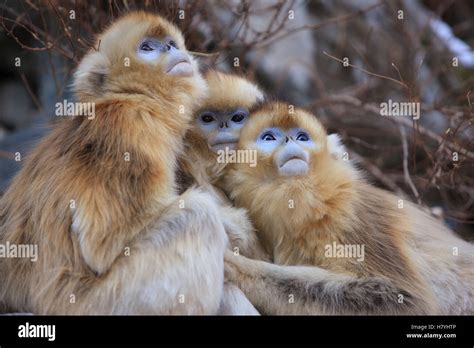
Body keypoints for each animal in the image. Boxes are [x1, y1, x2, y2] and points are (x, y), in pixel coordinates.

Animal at [0, 12, 248, 314]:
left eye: (170, 43)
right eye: (147, 48)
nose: (172, 50)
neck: (133, 97)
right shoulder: (132, 128)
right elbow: (104, 246)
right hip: (103, 303)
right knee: (197, 215)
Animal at [223, 101, 474, 316]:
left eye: (302, 137)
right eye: (269, 137)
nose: (290, 141)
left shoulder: (352, 214)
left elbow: (407, 301)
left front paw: (235, 266)